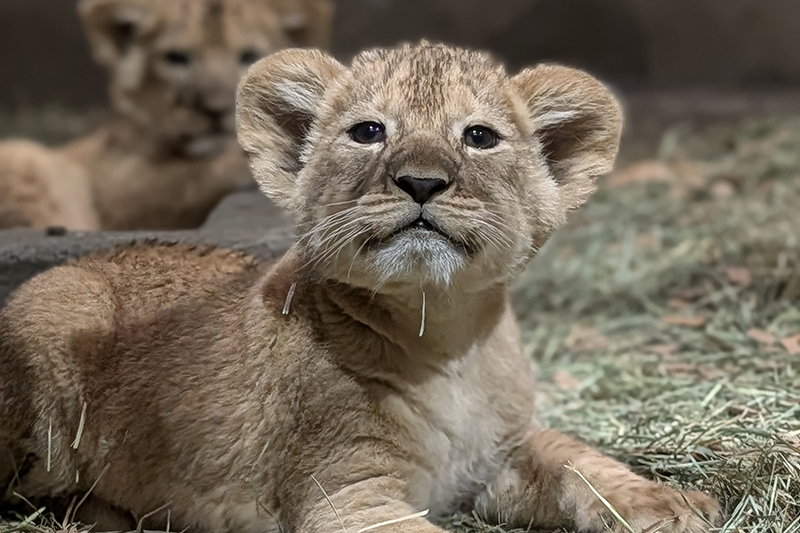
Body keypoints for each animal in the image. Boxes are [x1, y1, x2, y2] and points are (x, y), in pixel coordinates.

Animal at [0, 0, 333, 231]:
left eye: (247, 55)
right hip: (23, 155)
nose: (215, 110)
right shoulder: (116, 194)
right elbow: (187, 178)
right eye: (177, 58)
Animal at [0, 43, 721, 533]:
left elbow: (580, 460)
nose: (422, 180)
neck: (446, 339)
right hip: (49, 319)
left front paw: (672, 504)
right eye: (369, 132)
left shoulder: (506, 451)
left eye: (480, 137)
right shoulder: (345, 493)